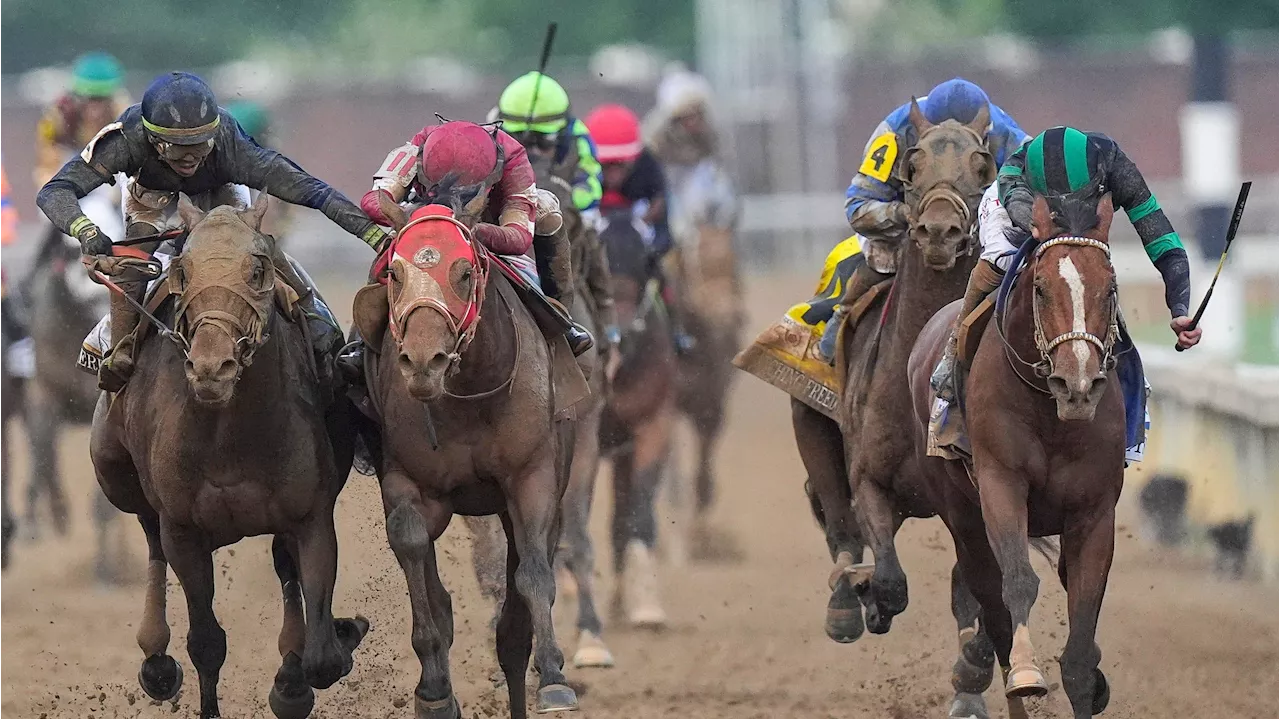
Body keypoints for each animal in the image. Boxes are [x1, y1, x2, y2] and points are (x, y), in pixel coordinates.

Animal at [89, 194, 366, 716]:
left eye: (257, 269)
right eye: (182, 269)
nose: (211, 367)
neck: (229, 436)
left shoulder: (311, 516)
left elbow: (322, 656)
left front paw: (325, 650)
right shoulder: (184, 529)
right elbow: (206, 641)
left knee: (283, 566)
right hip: (116, 475)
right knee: (151, 539)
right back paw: (157, 661)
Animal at [355, 191, 586, 716]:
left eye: (464, 272)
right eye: (394, 273)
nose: (423, 362)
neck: (470, 392)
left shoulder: (532, 477)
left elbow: (533, 574)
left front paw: (555, 678)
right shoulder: (408, 481)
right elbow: (413, 547)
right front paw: (435, 689)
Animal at [906, 195, 1126, 716]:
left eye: (1109, 289)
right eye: (1041, 288)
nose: (1077, 384)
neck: (1052, 414)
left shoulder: (1094, 510)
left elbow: (1082, 637)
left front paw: (1091, 679)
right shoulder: (1001, 483)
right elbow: (1018, 582)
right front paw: (1027, 673)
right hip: (962, 516)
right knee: (991, 600)